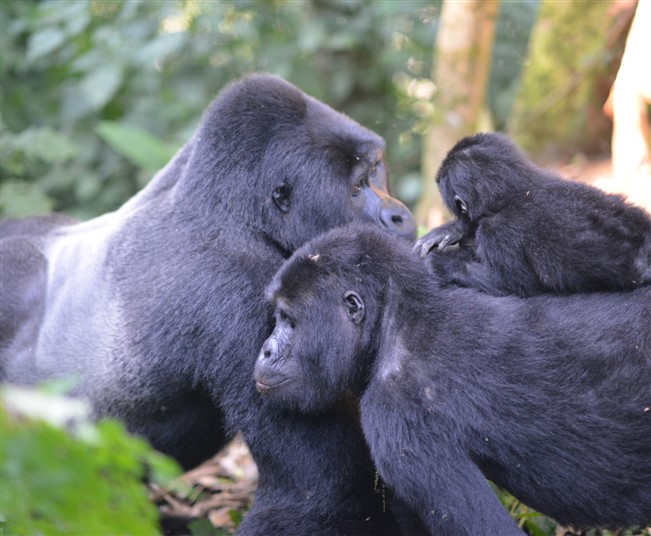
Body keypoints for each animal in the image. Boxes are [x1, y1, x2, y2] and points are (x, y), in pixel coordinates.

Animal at [0, 74, 418, 536]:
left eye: (376, 169)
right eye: (356, 189)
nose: (399, 216)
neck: (237, 211)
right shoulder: (242, 289)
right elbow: (318, 493)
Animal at [418, 131, 651, 296]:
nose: (460, 221)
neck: (516, 191)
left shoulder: (496, 231)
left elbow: (512, 284)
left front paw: (442, 264)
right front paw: (454, 230)